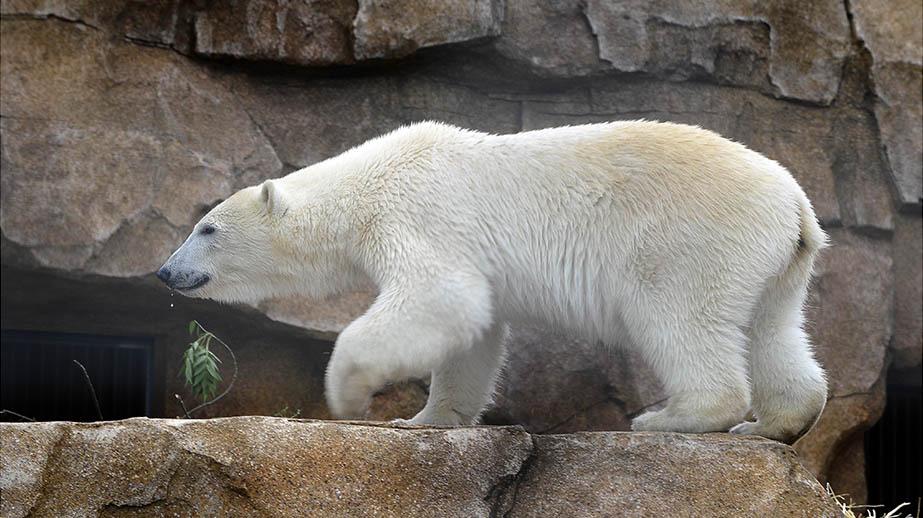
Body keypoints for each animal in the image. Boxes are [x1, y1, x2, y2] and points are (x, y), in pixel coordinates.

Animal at [159, 121, 832, 442]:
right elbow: (473, 333)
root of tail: (795, 205)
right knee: (772, 327)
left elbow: (439, 298)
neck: (369, 181)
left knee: (678, 317)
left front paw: (349, 396)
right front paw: (427, 419)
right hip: (775, 262)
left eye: (207, 227)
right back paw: (775, 421)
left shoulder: (418, 213)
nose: (167, 271)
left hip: (688, 240)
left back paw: (671, 418)